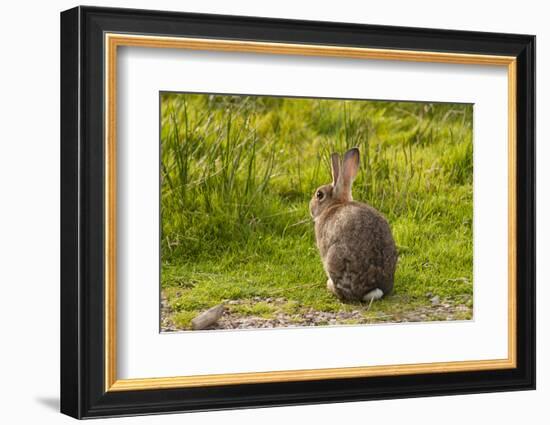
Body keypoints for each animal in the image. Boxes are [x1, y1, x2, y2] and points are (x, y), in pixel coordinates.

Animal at [308, 147, 398, 300]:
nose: (310, 208)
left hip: (335, 258)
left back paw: (330, 285)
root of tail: (372, 289)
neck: (336, 204)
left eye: (319, 195)